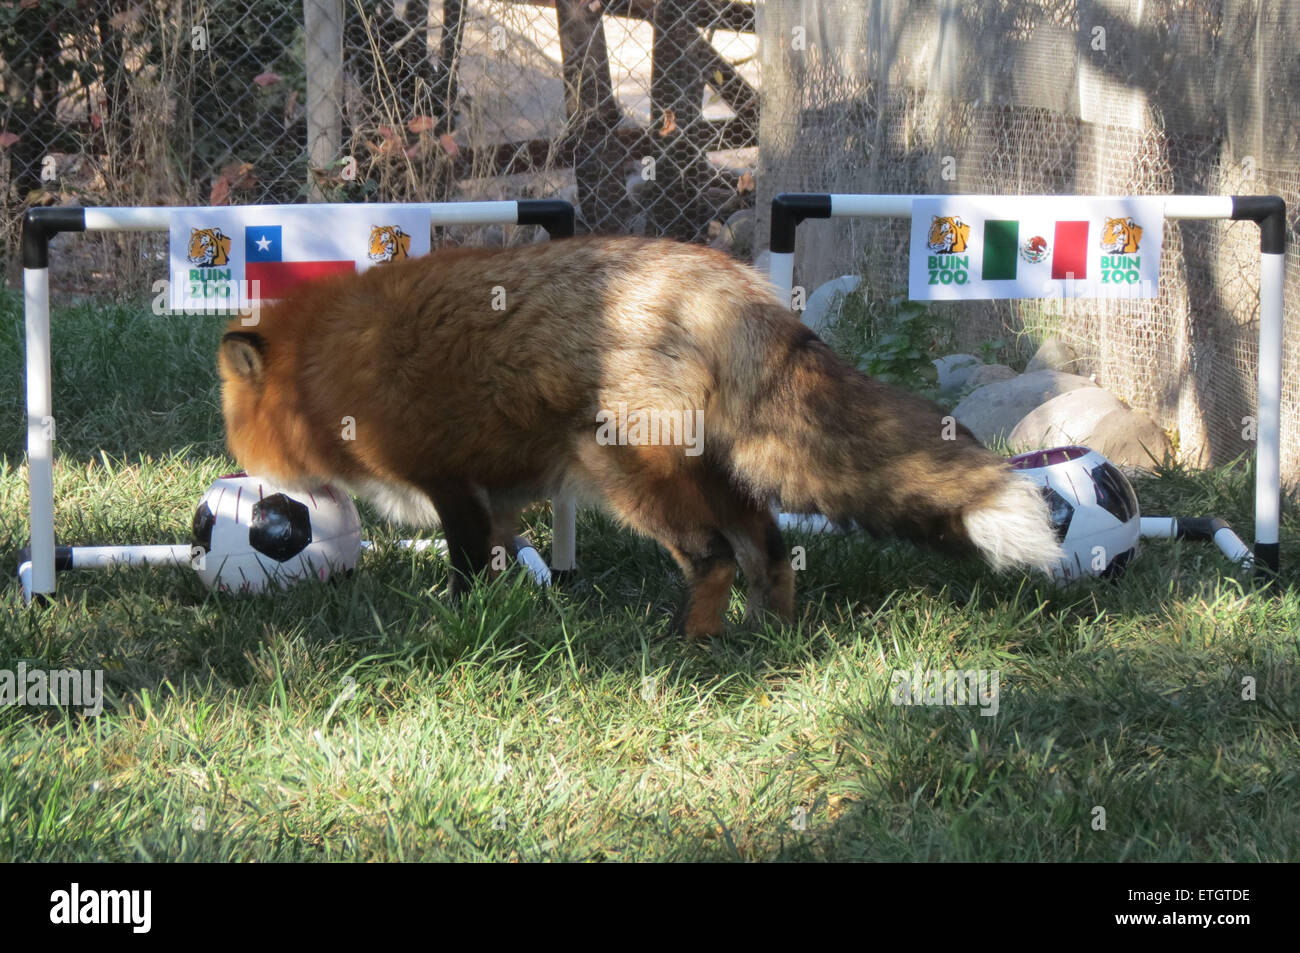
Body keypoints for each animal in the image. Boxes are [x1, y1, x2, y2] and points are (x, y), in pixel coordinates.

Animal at [218, 235, 1060, 634]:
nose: (266, 491)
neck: (324, 366)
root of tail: (737, 288)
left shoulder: (449, 480)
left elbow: (465, 568)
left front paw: (454, 621)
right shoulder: (495, 494)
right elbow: (502, 557)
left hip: (620, 467)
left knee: (713, 556)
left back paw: (687, 651)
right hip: (715, 473)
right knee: (770, 549)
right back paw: (771, 638)